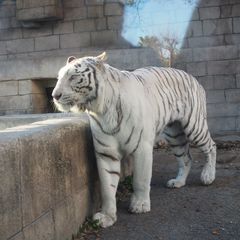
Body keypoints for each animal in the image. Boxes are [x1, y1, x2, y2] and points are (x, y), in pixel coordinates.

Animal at [53, 51, 218, 228]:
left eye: (73, 77)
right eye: (58, 77)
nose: (54, 95)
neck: (101, 110)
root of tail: (193, 77)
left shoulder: (142, 148)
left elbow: (140, 179)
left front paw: (140, 205)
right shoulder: (106, 153)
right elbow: (107, 187)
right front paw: (107, 216)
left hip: (194, 126)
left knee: (211, 146)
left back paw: (208, 176)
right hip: (174, 135)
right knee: (186, 157)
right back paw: (178, 182)